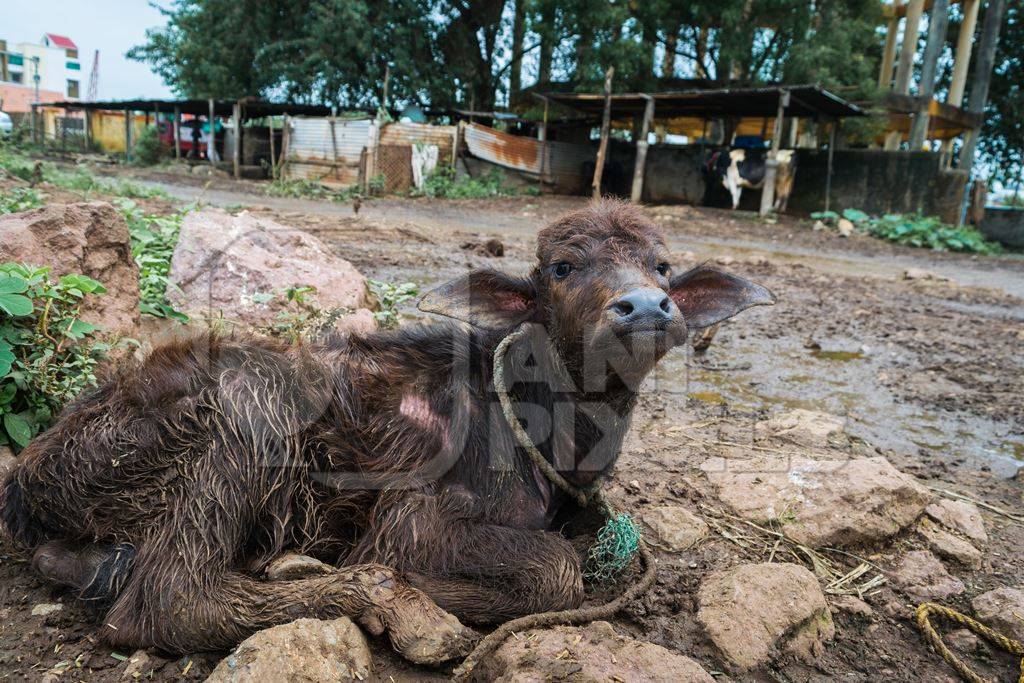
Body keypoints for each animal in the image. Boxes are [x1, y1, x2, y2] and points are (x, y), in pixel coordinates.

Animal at [0, 201, 774, 663]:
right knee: (170, 601)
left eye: (662, 266)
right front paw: (431, 594)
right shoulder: (412, 520)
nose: (645, 306)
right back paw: (377, 598)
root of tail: (31, 472)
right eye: (562, 266)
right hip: (250, 403)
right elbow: (555, 569)